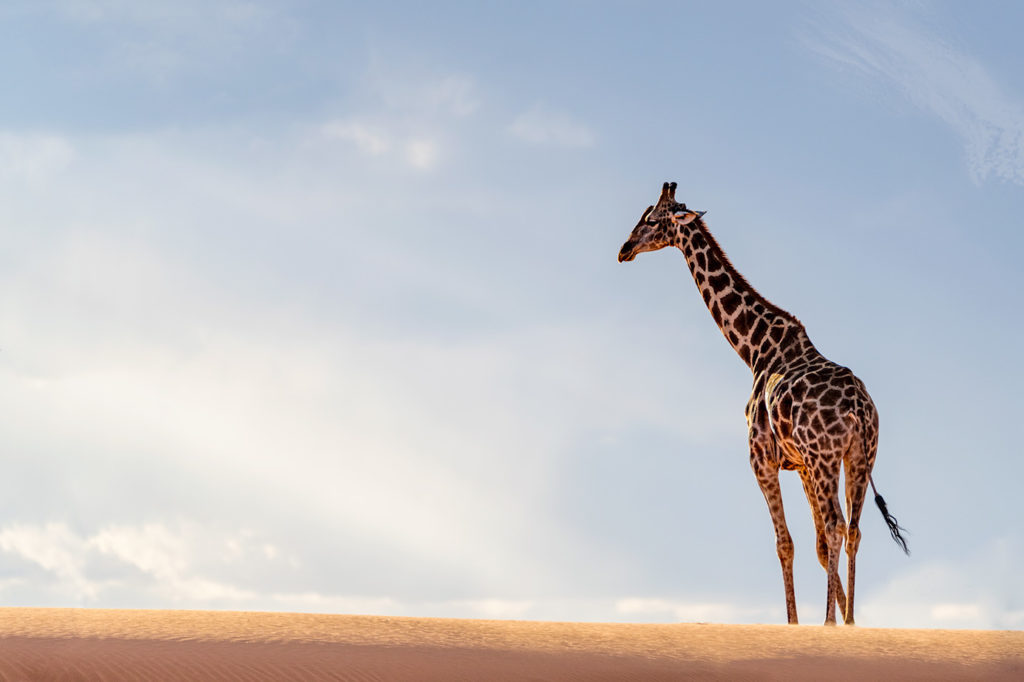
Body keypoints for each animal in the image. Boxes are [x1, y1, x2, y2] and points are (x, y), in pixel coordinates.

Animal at [618, 182, 909, 626]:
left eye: (651, 220)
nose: (625, 248)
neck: (754, 348)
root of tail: (860, 410)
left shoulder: (762, 459)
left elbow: (785, 543)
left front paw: (796, 623)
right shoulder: (801, 465)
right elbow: (817, 545)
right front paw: (842, 621)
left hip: (828, 458)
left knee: (835, 524)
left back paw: (829, 622)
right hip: (860, 457)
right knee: (852, 529)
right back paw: (850, 622)